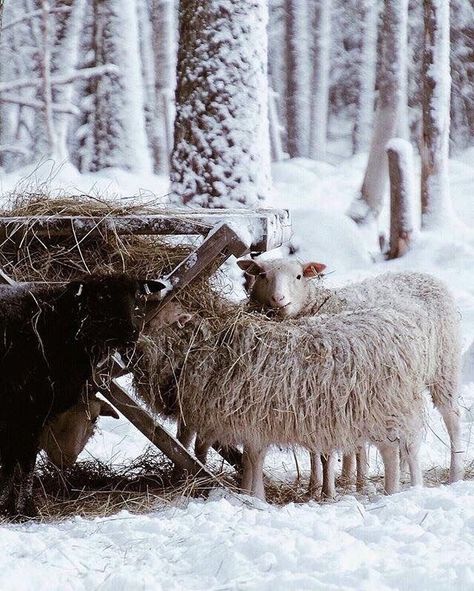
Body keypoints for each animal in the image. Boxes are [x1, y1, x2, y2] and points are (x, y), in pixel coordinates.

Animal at [0, 274, 159, 520]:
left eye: (137, 296)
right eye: (101, 298)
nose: (130, 334)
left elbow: (11, 462)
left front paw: (8, 507)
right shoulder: (28, 411)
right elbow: (24, 462)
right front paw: (25, 509)